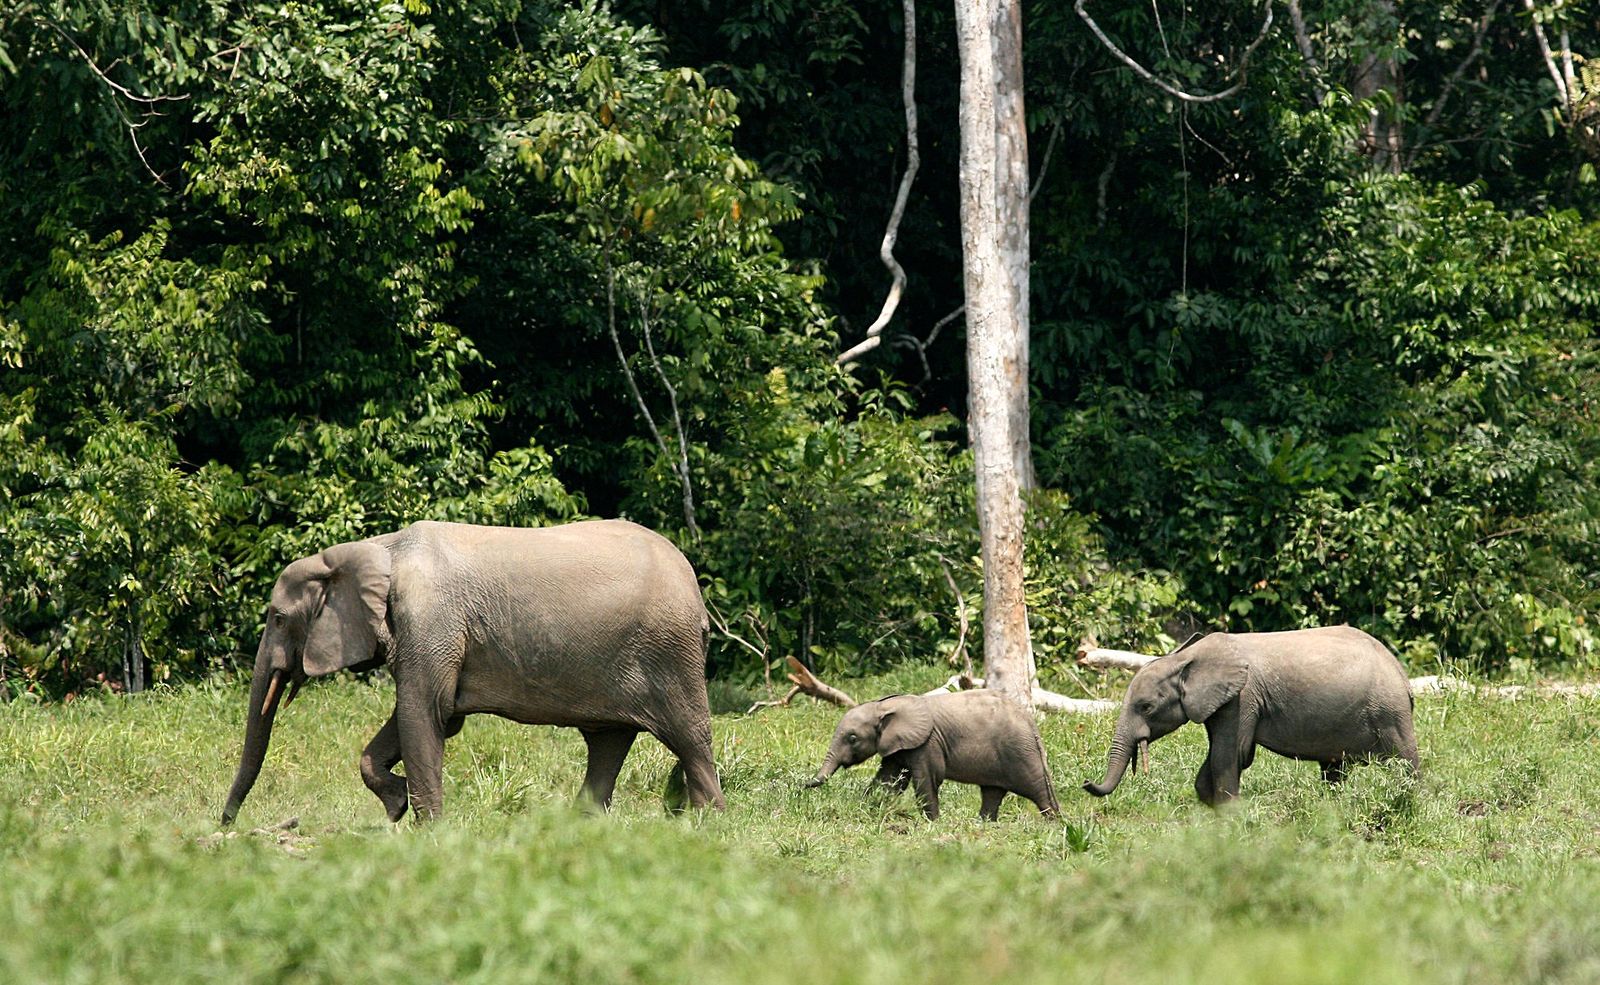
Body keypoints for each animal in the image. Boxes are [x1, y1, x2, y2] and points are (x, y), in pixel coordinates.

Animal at [221, 519, 725, 825]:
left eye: (278, 618)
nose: (226, 826)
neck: (375, 550)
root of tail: (694, 587)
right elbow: (429, 718)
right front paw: (398, 805)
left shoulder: (430, 620)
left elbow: (425, 712)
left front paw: (426, 830)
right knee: (607, 741)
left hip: (669, 652)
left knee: (689, 737)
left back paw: (707, 826)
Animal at [804, 690, 1060, 820]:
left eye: (852, 739)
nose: (801, 785)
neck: (883, 706)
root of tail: (1031, 723)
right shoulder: (899, 745)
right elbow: (888, 780)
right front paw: (868, 810)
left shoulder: (927, 743)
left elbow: (927, 778)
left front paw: (933, 824)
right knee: (992, 792)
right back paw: (984, 824)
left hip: (1020, 751)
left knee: (1038, 791)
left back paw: (1056, 824)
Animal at [1083, 625, 1419, 805]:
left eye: (1146, 707)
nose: (1086, 782)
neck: (1185, 658)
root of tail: (1401, 674)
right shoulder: (1222, 703)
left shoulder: (1242, 699)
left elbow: (1232, 754)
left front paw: (1229, 815)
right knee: (1334, 769)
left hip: (1389, 712)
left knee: (1406, 761)